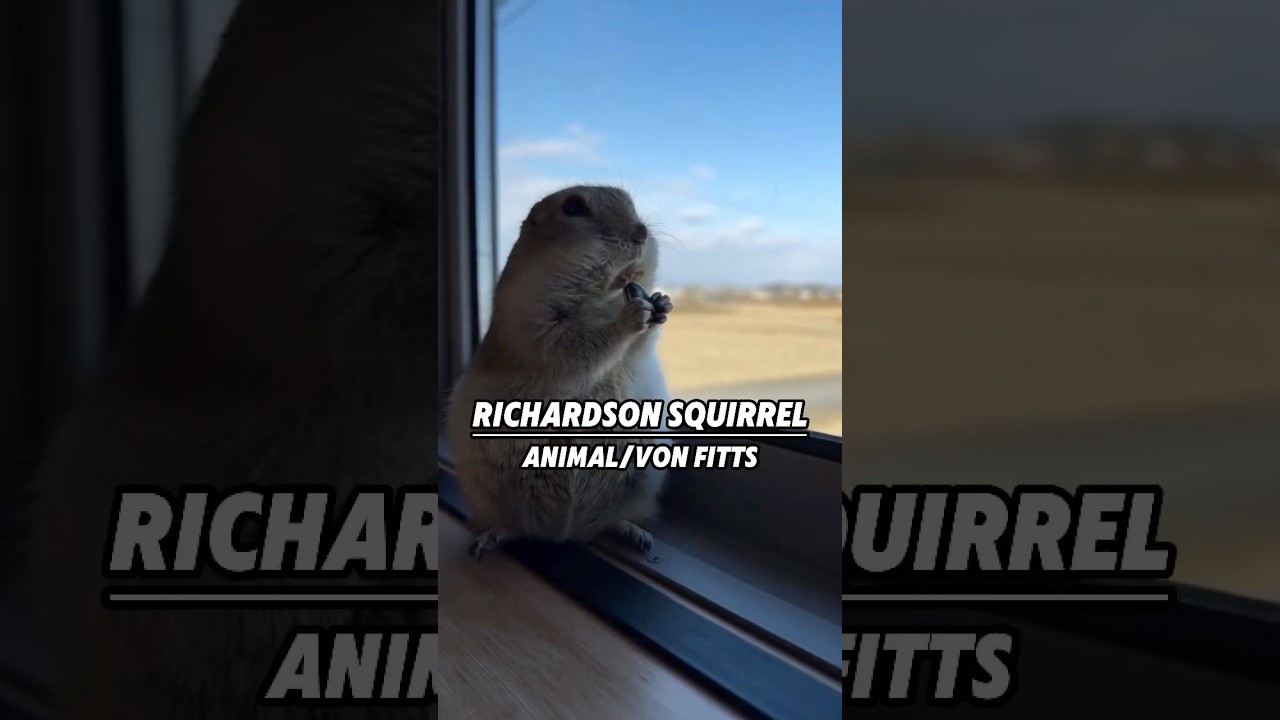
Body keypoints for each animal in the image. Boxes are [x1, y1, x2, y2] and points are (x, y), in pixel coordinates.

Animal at [446, 185, 675, 560]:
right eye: (573, 207)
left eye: (630, 201)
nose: (642, 232)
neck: (602, 296)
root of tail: (562, 534)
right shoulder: (533, 318)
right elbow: (575, 348)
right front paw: (630, 318)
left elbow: (640, 345)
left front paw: (662, 303)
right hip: (489, 497)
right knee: (514, 525)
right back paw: (490, 538)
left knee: (607, 522)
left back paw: (633, 532)